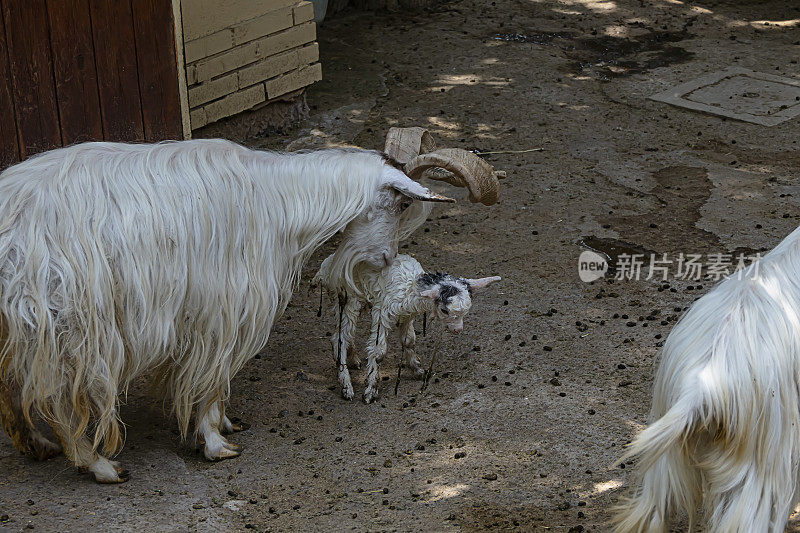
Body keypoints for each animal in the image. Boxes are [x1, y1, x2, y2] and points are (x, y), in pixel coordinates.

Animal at [0, 138, 472, 482]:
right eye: (401, 203)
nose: (388, 258)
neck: (279, 203)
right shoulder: (222, 310)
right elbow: (212, 377)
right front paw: (215, 441)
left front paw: (225, 425)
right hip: (69, 326)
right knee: (62, 400)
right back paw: (99, 464)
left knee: (13, 386)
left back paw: (37, 445)